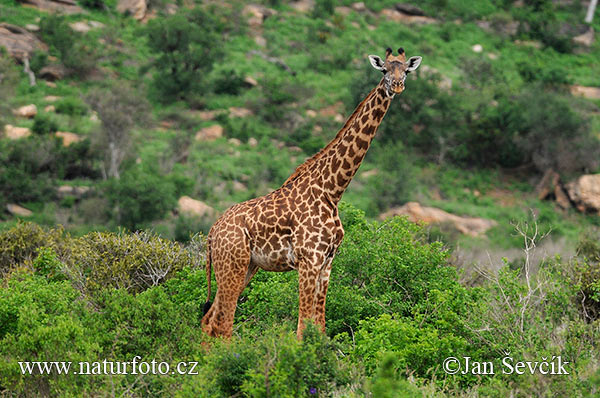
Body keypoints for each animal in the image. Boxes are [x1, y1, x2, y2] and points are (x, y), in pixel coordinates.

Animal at [202, 46, 422, 338]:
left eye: (406, 70)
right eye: (384, 70)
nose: (396, 86)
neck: (332, 189)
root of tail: (212, 233)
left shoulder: (327, 262)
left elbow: (319, 327)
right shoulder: (309, 259)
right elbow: (302, 328)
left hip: (246, 266)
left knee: (209, 321)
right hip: (233, 265)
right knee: (222, 324)